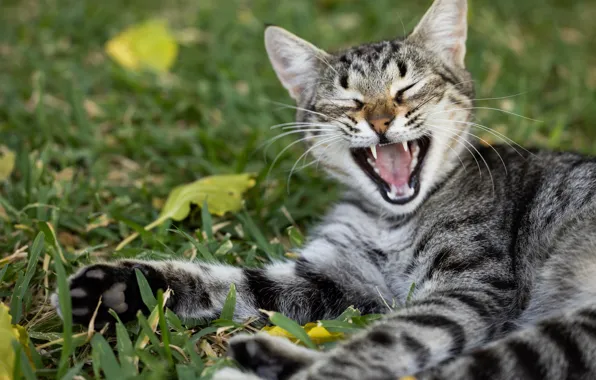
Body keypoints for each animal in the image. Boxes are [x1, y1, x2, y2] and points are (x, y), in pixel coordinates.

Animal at [51, 0, 596, 380]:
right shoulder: (339, 280)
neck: (391, 219)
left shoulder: (469, 290)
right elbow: (231, 282)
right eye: (348, 100)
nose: (380, 121)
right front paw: (120, 287)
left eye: (406, 90)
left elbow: (381, 344)